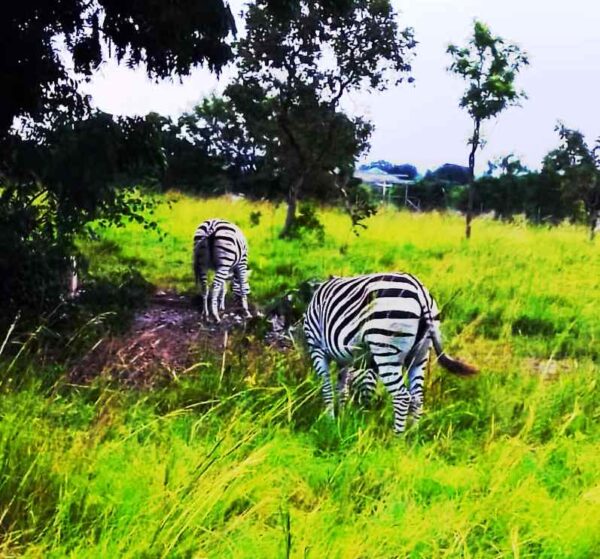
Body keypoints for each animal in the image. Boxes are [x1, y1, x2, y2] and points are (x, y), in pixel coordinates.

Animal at [304, 274, 478, 436]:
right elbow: (342, 389)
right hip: (420, 355)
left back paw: (396, 440)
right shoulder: (345, 360)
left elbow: (327, 388)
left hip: (386, 348)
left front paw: (329, 421)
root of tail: (420, 291)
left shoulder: (317, 348)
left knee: (402, 397)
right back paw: (412, 435)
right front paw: (341, 418)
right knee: (417, 397)